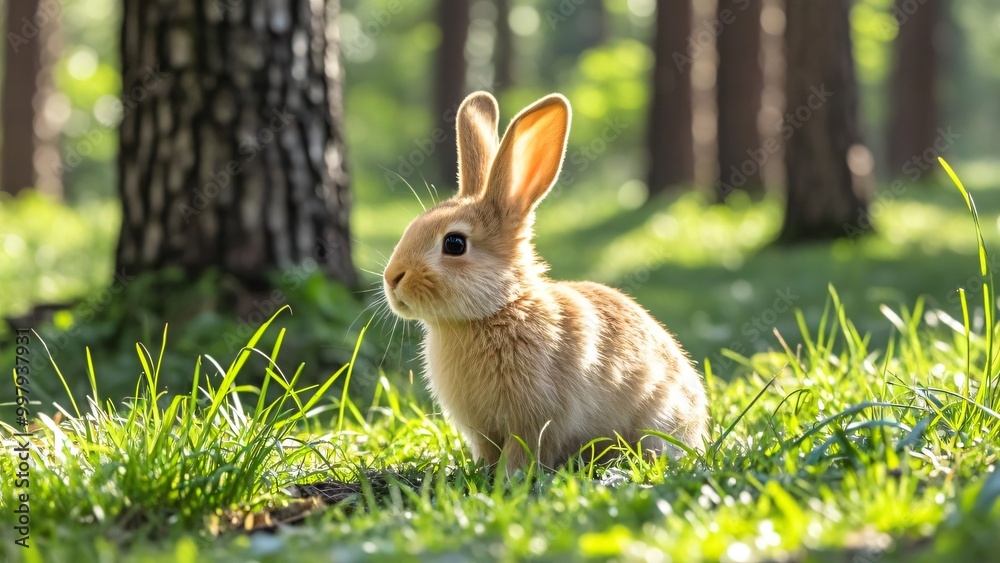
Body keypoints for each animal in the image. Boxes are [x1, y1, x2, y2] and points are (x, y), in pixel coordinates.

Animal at [382, 91, 709, 473]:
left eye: (454, 244)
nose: (391, 279)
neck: (500, 309)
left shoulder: (534, 419)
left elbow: (522, 452)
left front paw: (509, 477)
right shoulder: (483, 431)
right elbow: (487, 451)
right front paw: (482, 472)